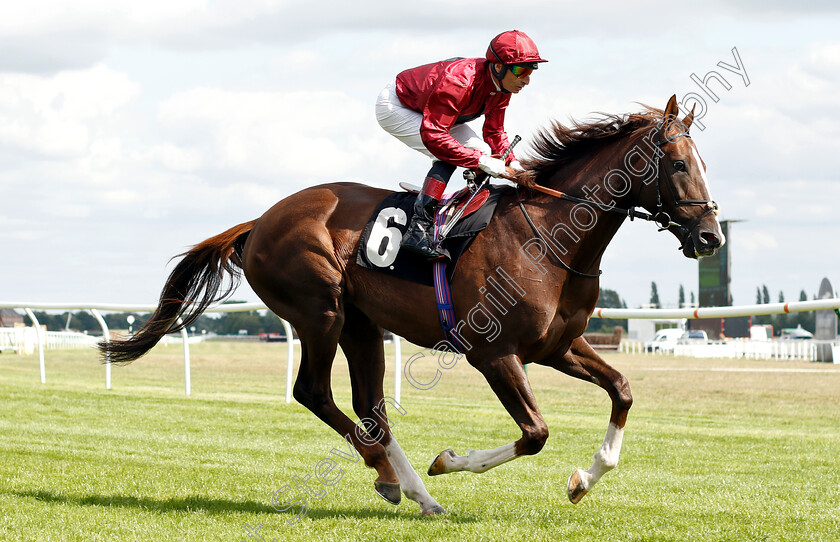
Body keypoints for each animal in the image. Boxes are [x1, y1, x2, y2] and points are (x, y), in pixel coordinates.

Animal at [101, 96, 724, 520]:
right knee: (315, 393)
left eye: (704, 163)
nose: (711, 237)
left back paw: (416, 493)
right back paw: (389, 474)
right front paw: (448, 460)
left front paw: (582, 480)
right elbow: (535, 432)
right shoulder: (493, 353)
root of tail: (260, 221)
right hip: (321, 312)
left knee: (369, 405)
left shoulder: (558, 346)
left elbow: (622, 390)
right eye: (677, 166)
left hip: (361, 325)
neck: (549, 235)